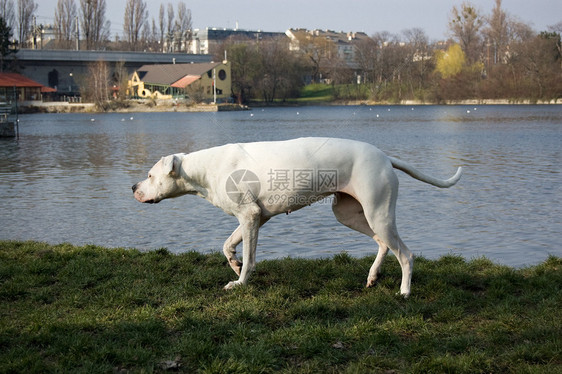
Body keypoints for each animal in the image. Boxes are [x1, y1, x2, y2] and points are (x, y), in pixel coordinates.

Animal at [132, 136, 460, 296]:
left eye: (149, 175)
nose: (133, 187)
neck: (203, 167)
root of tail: (385, 157)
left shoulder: (250, 216)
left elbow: (250, 258)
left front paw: (240, 282)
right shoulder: (254, 218)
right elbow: (227, 245)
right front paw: (234, 264)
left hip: (378, 214)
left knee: (406, 254)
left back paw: (404, 292)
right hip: (350, 214)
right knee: (382, 244)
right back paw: (373, 276)